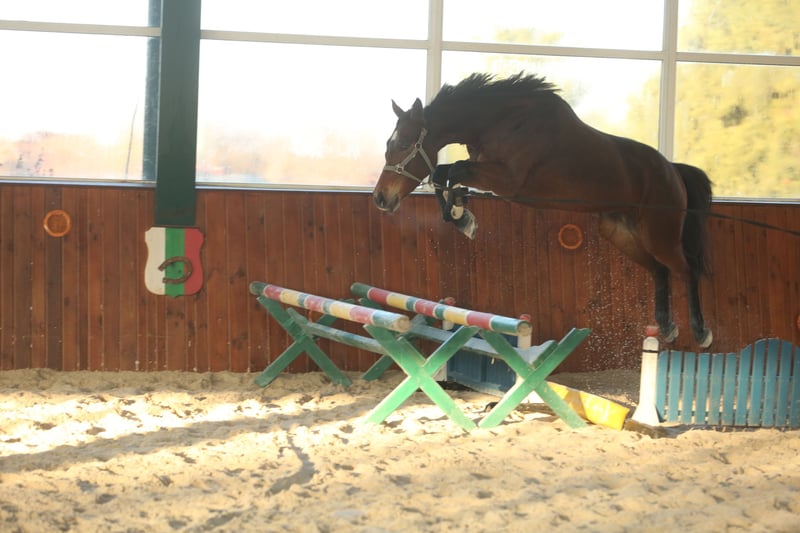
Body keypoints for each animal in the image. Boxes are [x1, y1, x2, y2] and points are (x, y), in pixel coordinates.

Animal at [373, 72, 713, 348]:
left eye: (403, 144)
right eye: (389, 144)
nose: (380, 198)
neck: (501, 122)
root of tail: (672, 170)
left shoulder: (506, 180)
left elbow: (452, 170)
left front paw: (460, 216)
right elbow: (444, 174)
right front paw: (460, 214)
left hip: (660, 233)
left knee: (687, 269)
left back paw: (701, 332)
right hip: (622, 233)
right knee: (659, 270)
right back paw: (667, 327)